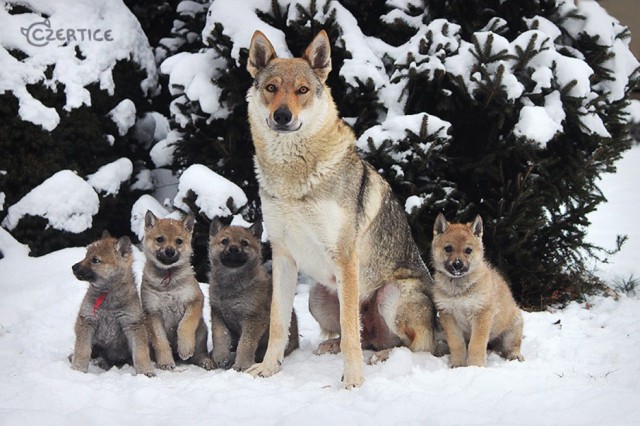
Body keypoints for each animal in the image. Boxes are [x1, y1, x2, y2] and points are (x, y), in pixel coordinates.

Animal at [70, 233, 156, 376]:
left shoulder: (132, 324)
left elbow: (140, 352)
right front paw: (77, 369)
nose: (73, 267)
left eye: (95, 260)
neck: (108, 293)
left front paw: (145, 371)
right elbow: (82, 349)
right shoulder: (87, 320)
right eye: (86, 255)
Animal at [140, 211, 212, 372]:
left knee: (199, 352)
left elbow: (185, 325)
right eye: (160, 239)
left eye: (179, 241)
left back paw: (205, 361)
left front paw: (185, 348)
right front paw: (165, 362)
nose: (170, 251)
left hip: (201, 331)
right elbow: (161, 342)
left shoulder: (194, 300)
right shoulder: (153, 312)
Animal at [209, 221, 302, 372]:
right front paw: (220, 356)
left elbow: (246, 344)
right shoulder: (218, 313)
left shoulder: (253, 318)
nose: (233, 249)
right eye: (224, 241)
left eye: (244, 243)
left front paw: (242, 365)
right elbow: (220, 336)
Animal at [245, 30, 436, 390]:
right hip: (316, 297)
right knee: (365, 336)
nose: (282, 116)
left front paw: (354, 381)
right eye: (272, 88)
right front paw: (268, 368)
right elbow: (278, 323)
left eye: (302, 90)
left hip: (391, 295)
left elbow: (351, 333)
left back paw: (384, 357)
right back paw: (334, 347)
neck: (293, 177)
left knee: (415, 347)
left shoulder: (345, 259)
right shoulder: (282, 255)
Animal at [430, 215, 524, 368]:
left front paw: (476, 367)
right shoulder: (448, 316)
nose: (457, 264)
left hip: (513, 328)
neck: (460, 288)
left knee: (512, 345)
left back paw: (515, 355)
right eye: (448, 248)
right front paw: (458, 364)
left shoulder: (481, 314)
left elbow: (476, 345)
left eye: (468, 250)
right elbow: (456, 344)